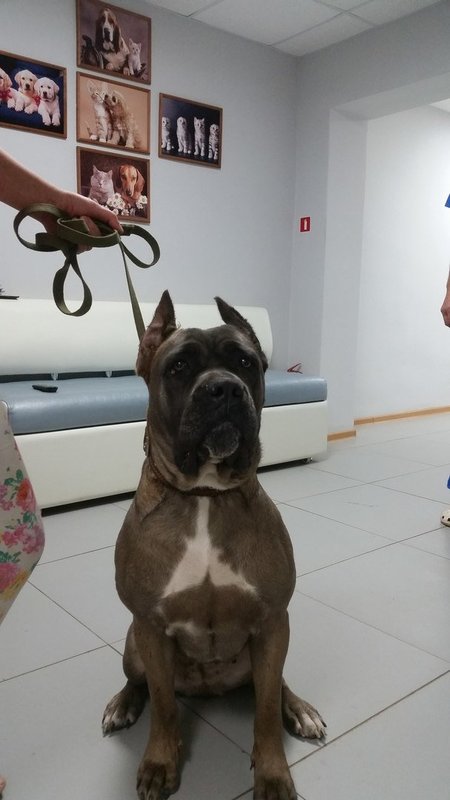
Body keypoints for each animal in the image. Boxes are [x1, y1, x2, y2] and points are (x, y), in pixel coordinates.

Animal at [102, 292, 326, 800]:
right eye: (179, 366)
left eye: (245, 363)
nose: (224, 389)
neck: (205, 495)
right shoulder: (149, 627)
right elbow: (164, 704)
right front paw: (160, 761)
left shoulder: (273, 621)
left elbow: (265, 712)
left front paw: (273, 773)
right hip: (133, 643)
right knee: (140, 683)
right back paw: (123, 704)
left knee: (275, 686)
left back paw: (299, 709)